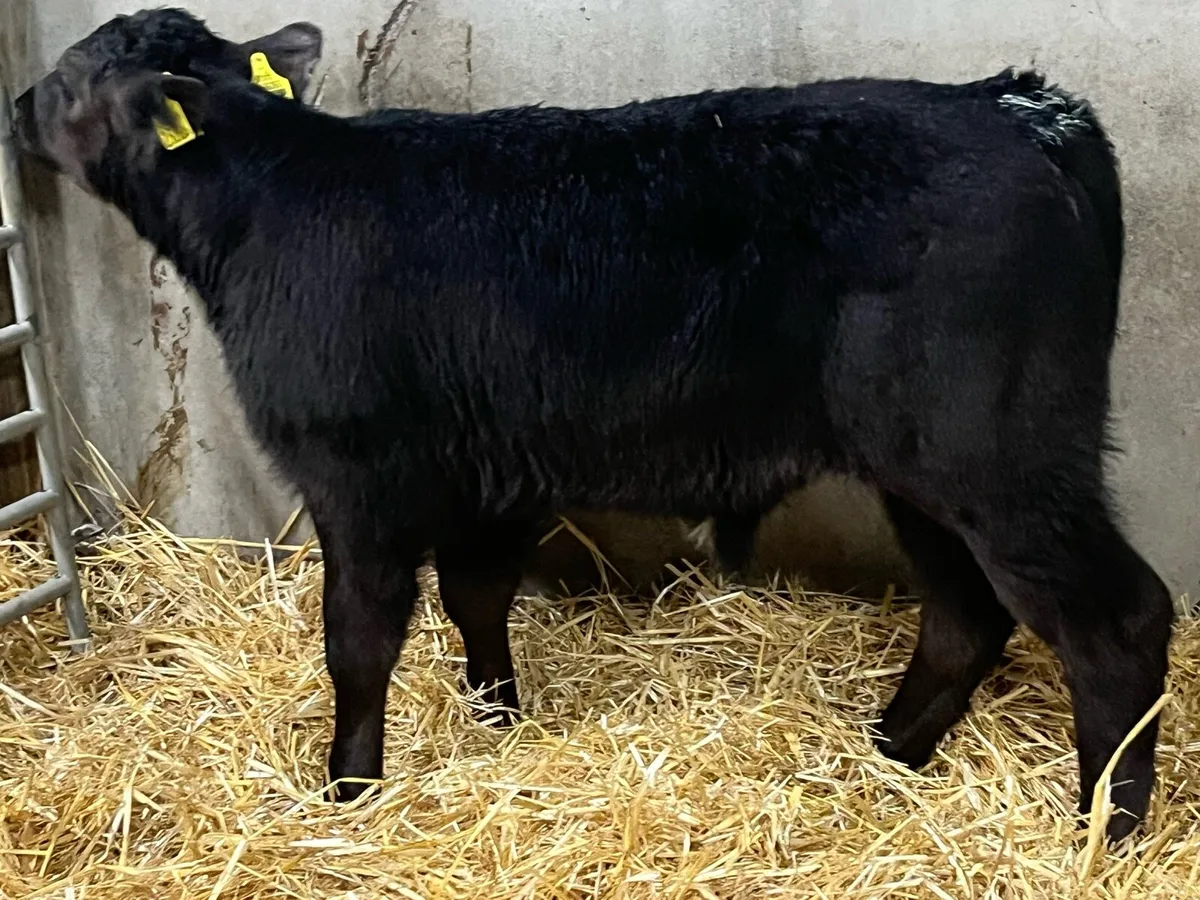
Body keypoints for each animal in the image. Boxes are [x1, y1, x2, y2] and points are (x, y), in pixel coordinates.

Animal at [14, 7, 1175, 844]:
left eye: (69, 75)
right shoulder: (488, 473)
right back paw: (887, 752)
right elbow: (477, 597)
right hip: (929, 474)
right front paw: (497, 720)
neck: (268, 204)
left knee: (1118, 622)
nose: (17, 101)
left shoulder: (356, 475)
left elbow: (358, 640)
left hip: (1001, 457)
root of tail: (1021, 107)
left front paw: (349, 788)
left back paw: (1103, 831)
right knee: (968, 616)